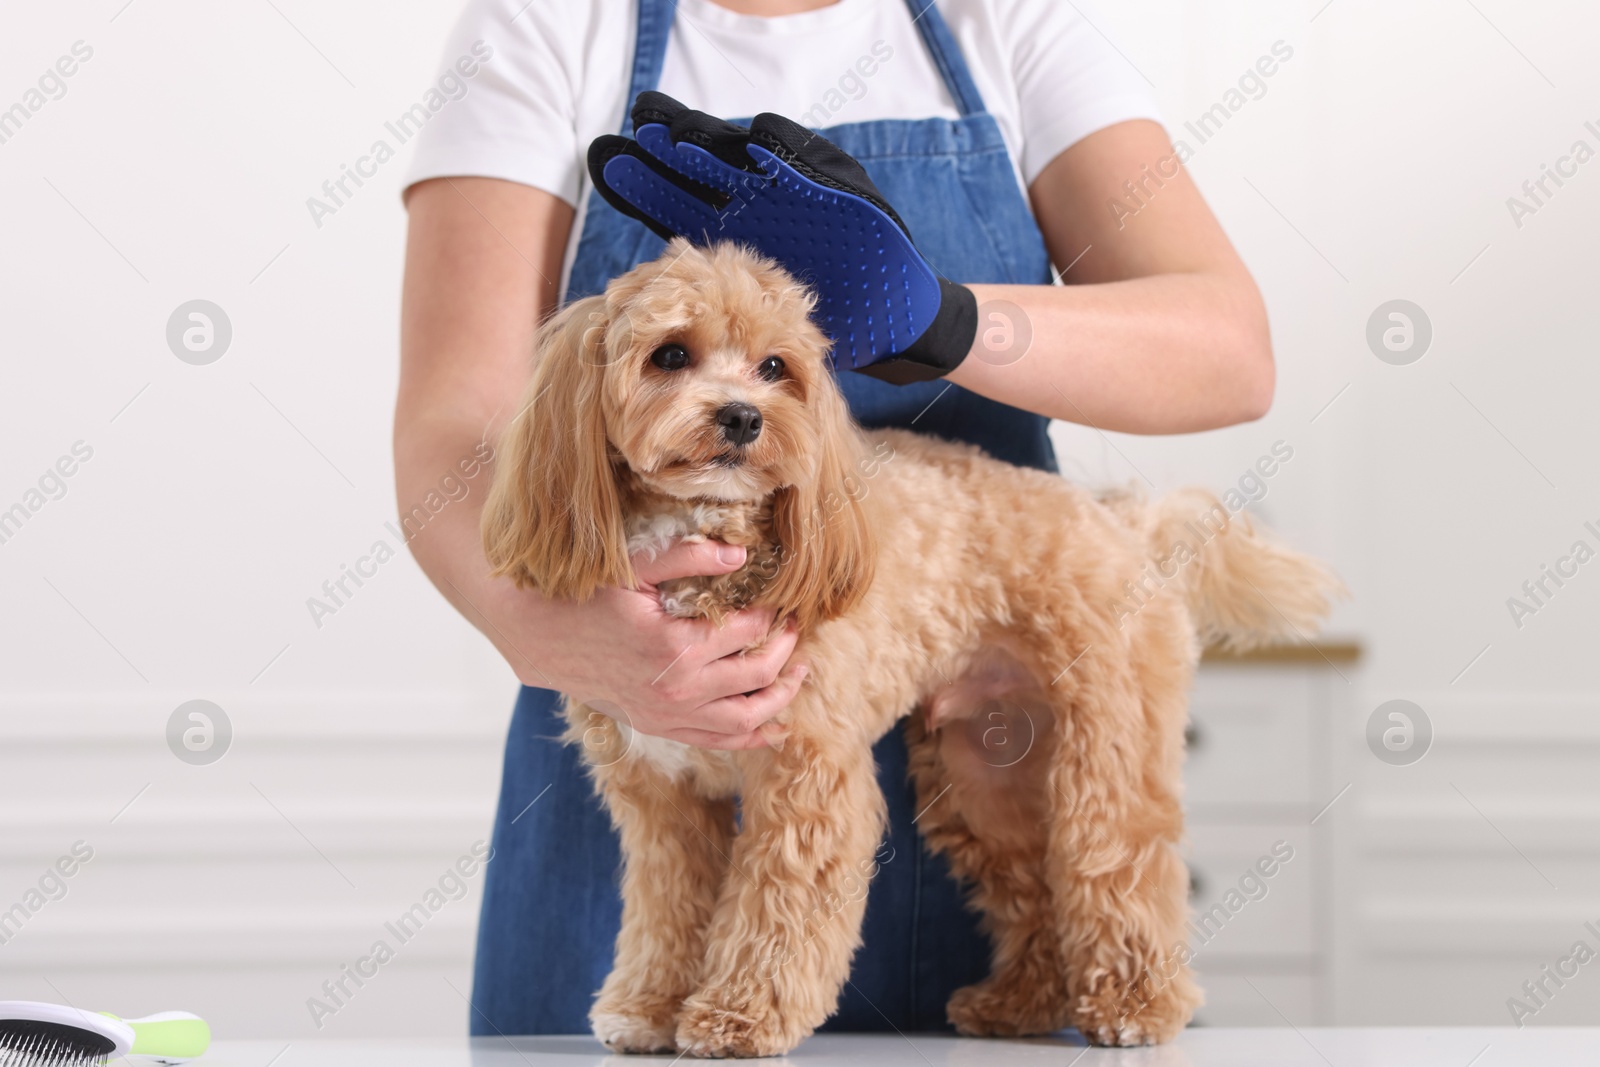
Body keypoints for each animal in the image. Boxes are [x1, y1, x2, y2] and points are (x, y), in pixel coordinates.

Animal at [476, 238, 1337, 1055]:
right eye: (670, 355)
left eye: (774, 367)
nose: (743, 417)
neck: (712, 542)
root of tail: (1124, 525)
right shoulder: (662, 798)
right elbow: (666, 911)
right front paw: (650, 1007)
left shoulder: (808, 779)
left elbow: (776, 909)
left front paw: (739, 1016)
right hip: (989, 776)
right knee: (1034, 890)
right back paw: (1018, 1003)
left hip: (1104, 761)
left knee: (1118, 865)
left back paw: (1136, 1005)